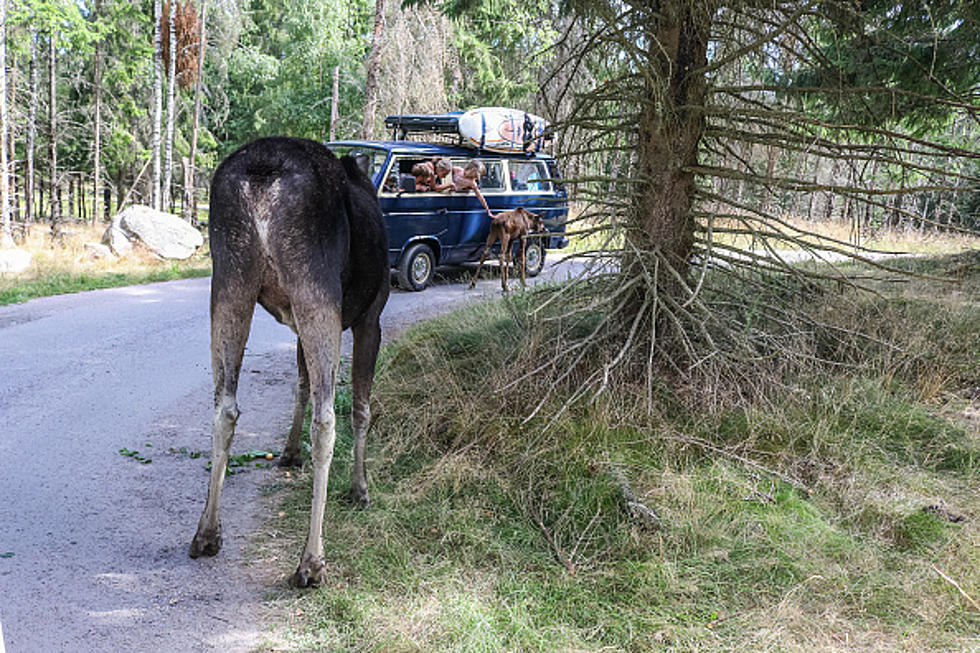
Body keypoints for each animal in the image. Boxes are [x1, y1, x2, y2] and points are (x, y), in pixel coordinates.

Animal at [189, 136, 388, 584]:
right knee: (327, 418)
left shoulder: (295, 324)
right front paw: (361, 487)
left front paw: (288, 451)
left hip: (229, 281)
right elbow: (362, 408)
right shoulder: (371, 316)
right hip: (316, 287)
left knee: (224, 406)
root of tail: (263, 174)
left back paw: (207, 532)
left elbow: (299, 385)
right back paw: (311, 560)